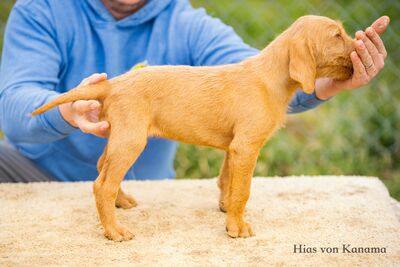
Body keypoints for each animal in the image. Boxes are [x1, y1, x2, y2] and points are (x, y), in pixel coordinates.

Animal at [32, 16, 354, 243]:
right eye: (337, 36)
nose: (358, 50)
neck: (269, 78)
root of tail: (114, 83)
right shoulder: (246, 147)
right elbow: (243, 190)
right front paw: (237, 227)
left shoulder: (233, 147)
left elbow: (227, 181)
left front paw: (226, 210)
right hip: (131, 139)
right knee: (102, 184)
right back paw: (114, 231)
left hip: (120, 136)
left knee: (103, 167)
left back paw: (121, 202)